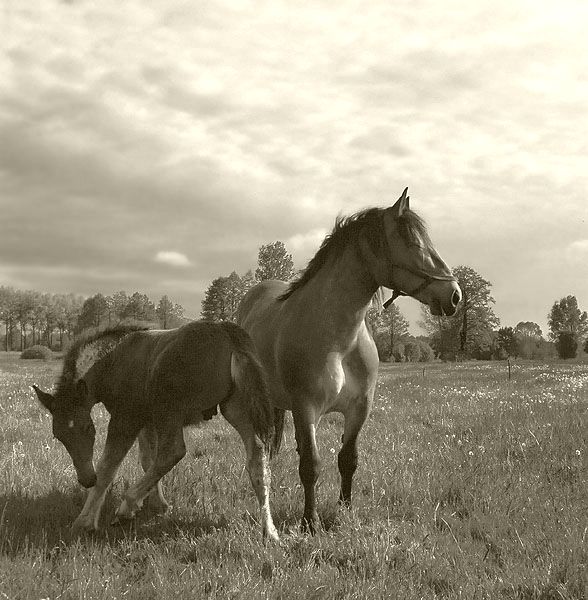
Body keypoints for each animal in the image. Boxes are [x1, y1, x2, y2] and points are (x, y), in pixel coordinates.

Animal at [32, 322, 280, 540]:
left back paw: (126, 507)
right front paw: (158, 503)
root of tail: (228, 333)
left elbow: (108, 467)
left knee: (173, 452)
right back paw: (269, 530)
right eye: (58, 436)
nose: (85, 479)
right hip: (235, 407)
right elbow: (146, 459)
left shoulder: (126, 418)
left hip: (170, 410)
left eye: (88, 427)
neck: (112, 360)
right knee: (258, 456)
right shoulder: (147, 421)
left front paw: (85, 522)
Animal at [237, 188, 462, 528]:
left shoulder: (359, 408)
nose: (455, 295)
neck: (339, 341)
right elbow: (311, 466)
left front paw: (344, 510)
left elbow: (347, 459)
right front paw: (310, 521)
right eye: (413, 243)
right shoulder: (306, 408)